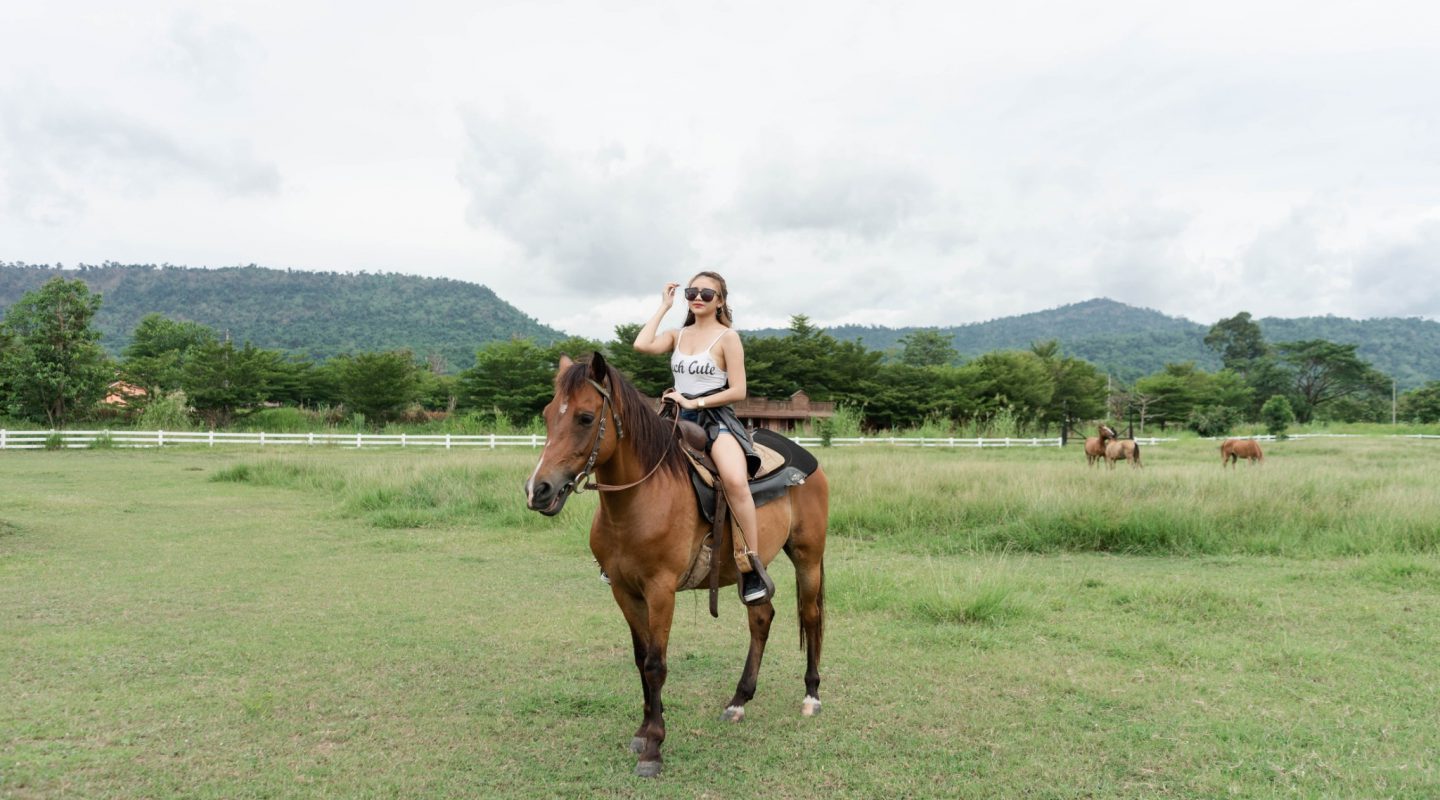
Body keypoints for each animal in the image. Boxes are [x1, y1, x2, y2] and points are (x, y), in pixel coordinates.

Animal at [524, 352, 829, 776]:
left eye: (585, 417)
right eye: (548, 414)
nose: (538, 490)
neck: (640, 499)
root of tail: (807, 458)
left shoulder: (661, 591)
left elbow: (656, 664)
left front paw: (653, 746)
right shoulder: (625, 591)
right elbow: (641, 659)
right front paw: (643, 730)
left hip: (807, 556)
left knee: (811, 616)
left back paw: (811, 696)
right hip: (750, 571)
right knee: (761, 617)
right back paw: (738, 701)